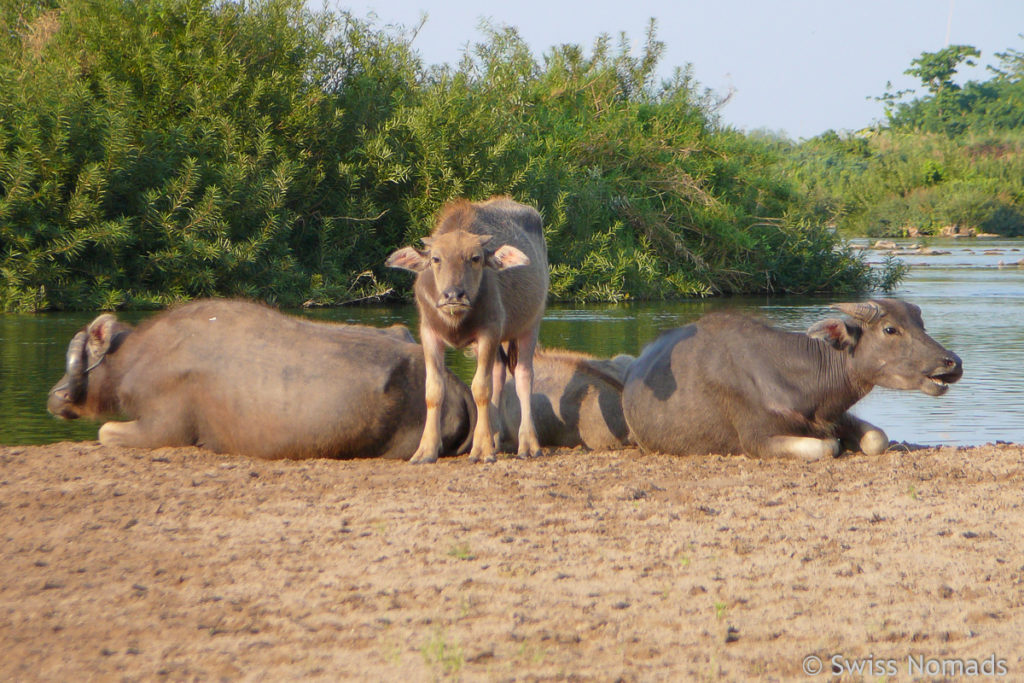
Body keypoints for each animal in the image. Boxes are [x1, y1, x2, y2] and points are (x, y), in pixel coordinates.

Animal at [46, 299, 477, 458]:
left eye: (77, 357)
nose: (55, 394)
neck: (136, 360)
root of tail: (454, 382)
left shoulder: (163, 428)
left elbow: (105, 432)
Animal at [385, 197, 548, 464]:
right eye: (436, 259)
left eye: (475, 258)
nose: (454, 295)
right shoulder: (429, 334)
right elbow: (434, 390)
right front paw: (426, 450)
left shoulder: (488, 333)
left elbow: (480, 388)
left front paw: (481, 450)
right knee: (499, 374)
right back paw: (495, 437)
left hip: (529, 326)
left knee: (523, 376)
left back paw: (529, 444)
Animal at [618, 301, 962, 462]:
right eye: (890, 329)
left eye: (920, 325)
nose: (952, 362)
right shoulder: (757, 441)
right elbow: (826, 447)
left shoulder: (835, 415)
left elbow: (877, 438)